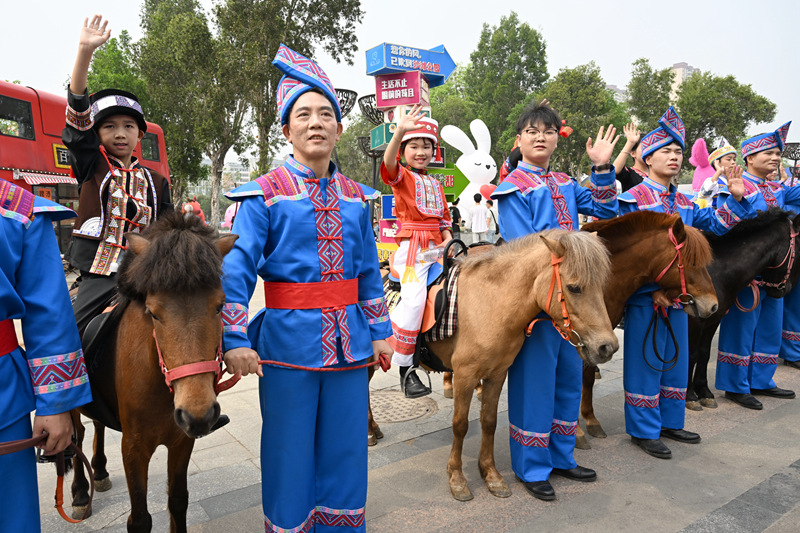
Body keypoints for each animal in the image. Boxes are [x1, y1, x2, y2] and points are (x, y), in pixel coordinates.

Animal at [69, 214, 236, 528]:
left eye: (220, 306)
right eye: (153, 312)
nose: (198, 413)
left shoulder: (182, 441)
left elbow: (178, 502)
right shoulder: (134, 448)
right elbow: (140, 519)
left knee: (97, 424)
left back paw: (100, 470)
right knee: (77, 434)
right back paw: (80, 493)